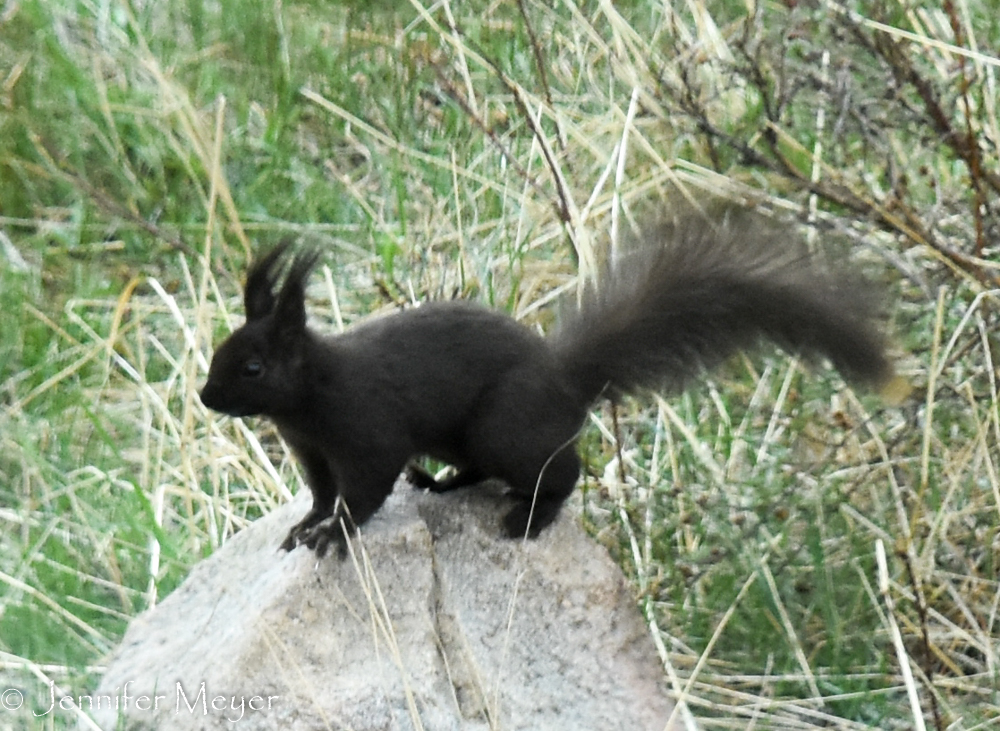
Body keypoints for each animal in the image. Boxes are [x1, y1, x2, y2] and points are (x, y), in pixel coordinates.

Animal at [199, 207, 894, 556]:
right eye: (219, 352)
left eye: (253, 367)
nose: (206, 397)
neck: (312, 395)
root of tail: (565, 380)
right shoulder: (312, 450)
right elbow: (321, 492)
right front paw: (307, 525)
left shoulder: (366, 433)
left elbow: (363, 493)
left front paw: (333, 534)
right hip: (470, 438)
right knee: (484, 470)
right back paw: (442, 484)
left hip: (505, 428)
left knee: (563, 472)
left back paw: (529, 519)